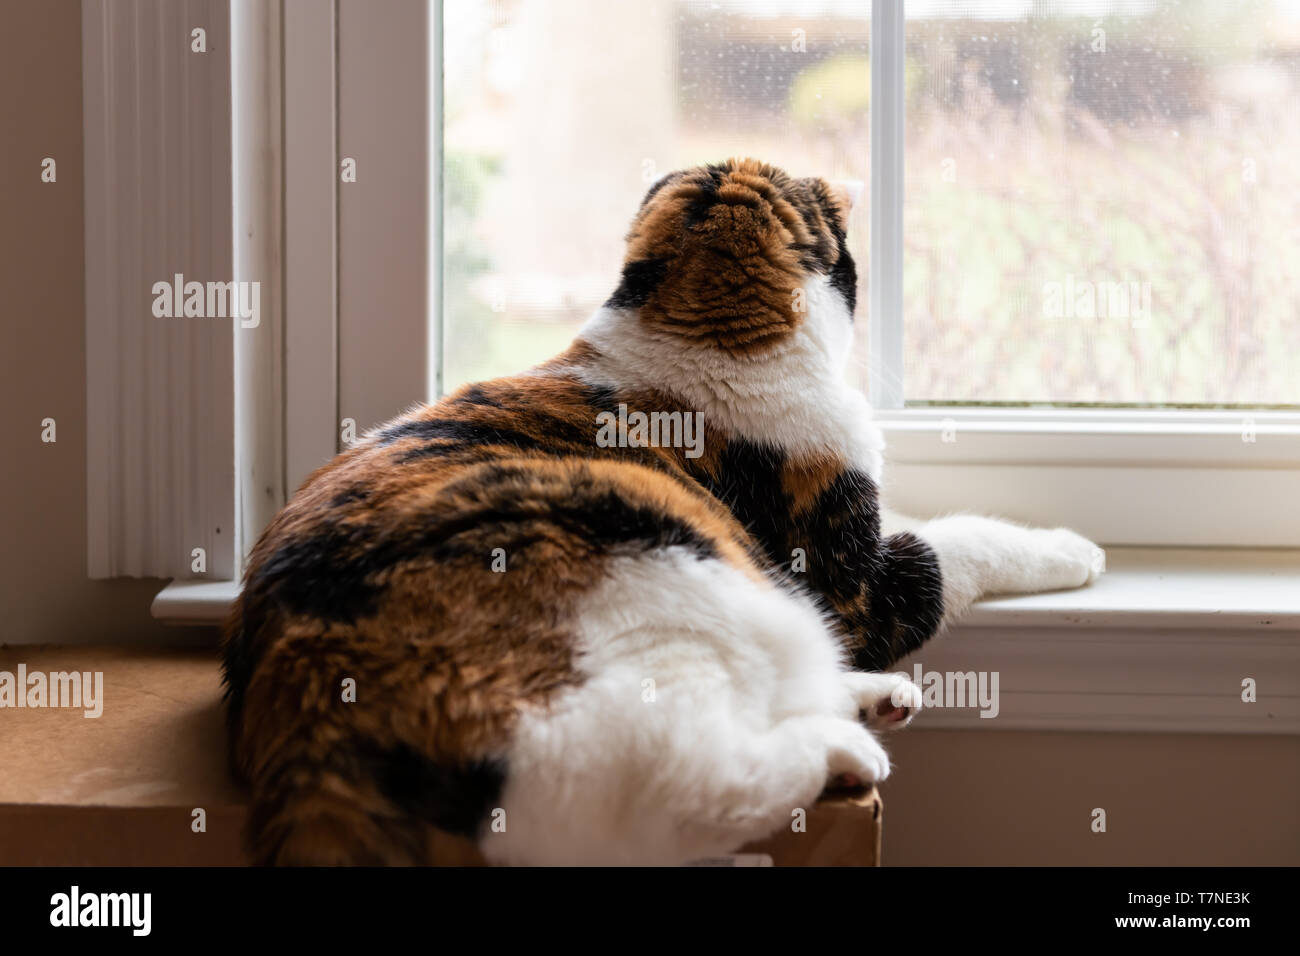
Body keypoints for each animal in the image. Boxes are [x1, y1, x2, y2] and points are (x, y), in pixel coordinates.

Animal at [220, 158, 1097, 868]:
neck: (701, 333)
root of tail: (299, 672)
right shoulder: (854, 586)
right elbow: (957, 542)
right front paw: (1074, 548)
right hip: (675, 578)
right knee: (682, 786)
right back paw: (841, 748)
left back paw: (870, 700)